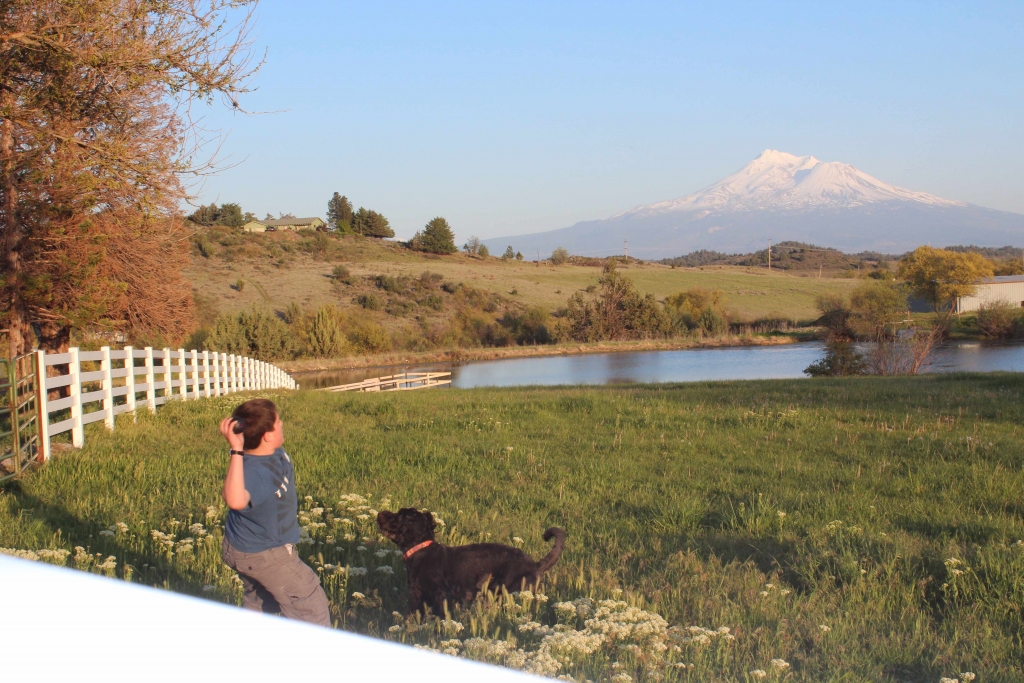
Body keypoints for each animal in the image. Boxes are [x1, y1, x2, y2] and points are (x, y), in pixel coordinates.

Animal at [378, 507, 569, 614]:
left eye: (399, 515)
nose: (380, 513)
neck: (421, 550)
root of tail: (536, 565)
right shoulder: (416, 594)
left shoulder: (441, 595)